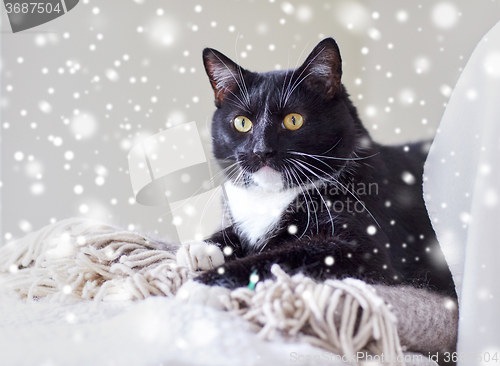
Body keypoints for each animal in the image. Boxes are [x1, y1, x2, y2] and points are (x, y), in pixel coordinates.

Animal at [177, 38, 458, 306]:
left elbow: (279, 257)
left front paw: (202, 285)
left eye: (293, 120)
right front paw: (201, 248)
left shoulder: (364, 247)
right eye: (242, 123)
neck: (272, 196)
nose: (261, 150)